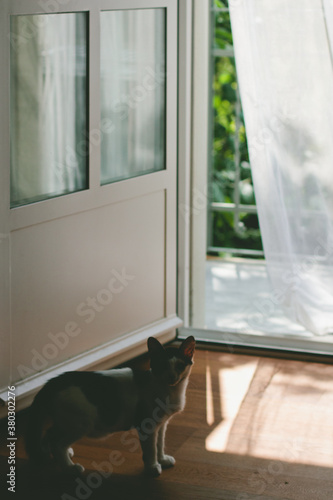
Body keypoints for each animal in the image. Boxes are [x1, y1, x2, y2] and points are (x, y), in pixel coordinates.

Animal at [25, 336, 195, 476]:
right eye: (162, 365)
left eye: (180, 366)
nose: (172, 377)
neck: (169, 391)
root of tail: (51, 382)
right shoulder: (147, 425)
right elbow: (150, 449)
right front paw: (152, 467)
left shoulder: (161, 424)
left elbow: (160, 444)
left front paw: (163, 459)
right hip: (80, 423)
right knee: (56, 443)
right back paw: (70, 468)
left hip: (67, 422)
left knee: (50, 434)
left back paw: (55, 454)